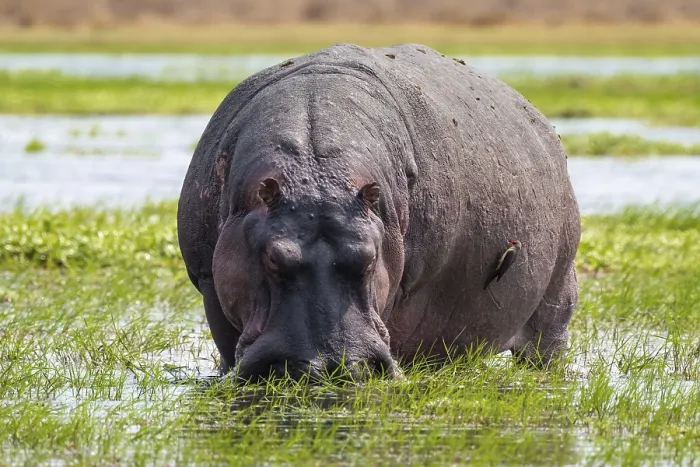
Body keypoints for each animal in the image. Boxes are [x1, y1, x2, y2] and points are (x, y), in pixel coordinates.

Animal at [177, 43, 581, 381]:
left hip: (558, 296)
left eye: (370, 258)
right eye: (274, 257)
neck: (316, 169)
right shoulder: (209, 282)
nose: (331, 365)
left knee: (549, 344)